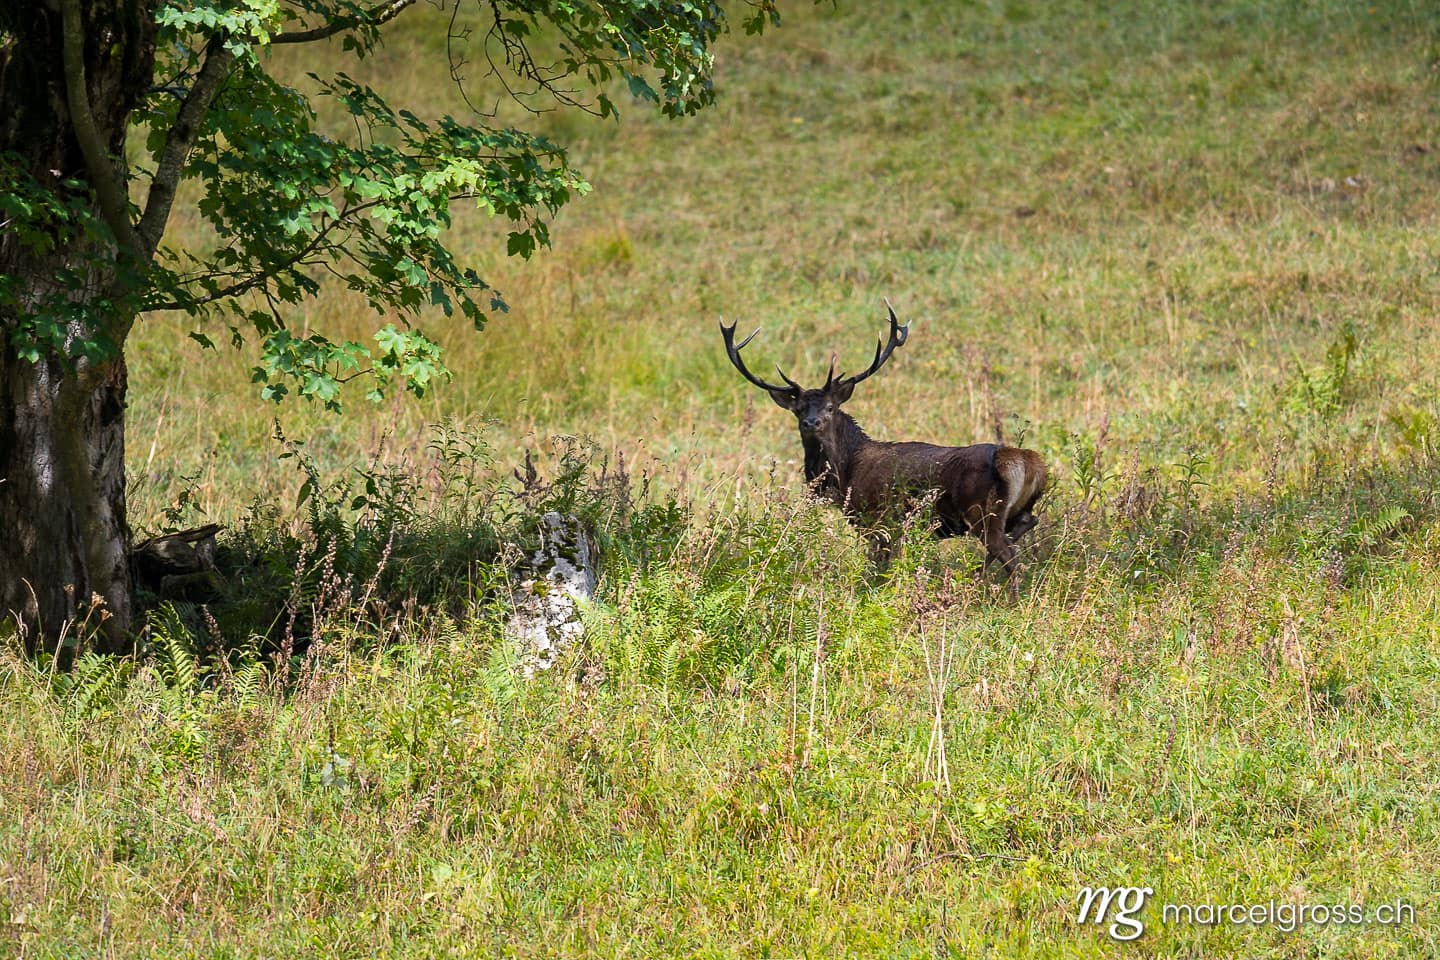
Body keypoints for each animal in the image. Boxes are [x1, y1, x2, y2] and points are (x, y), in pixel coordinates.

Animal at [720, 301, 1048, 591]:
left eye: (830, 407)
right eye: (799, 409)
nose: (811, 423)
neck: (845, 472)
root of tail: (1024, 460)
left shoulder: (878, 519)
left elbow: (878, 568)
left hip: (983, 512)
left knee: (1011, 557)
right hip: (1014, 510)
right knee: (1025, 526)